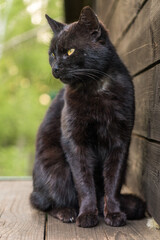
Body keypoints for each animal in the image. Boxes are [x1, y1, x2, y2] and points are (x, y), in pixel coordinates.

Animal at [30, 5, 146, 227]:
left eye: (69, 51)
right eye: (52, 54)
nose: (55, 68)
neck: (96, 88)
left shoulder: (120, 141)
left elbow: (113, 182)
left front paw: (113, 214)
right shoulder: (75, 141)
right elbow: (84, 182)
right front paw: (87, 215)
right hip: (55, 168)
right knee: (45, 203)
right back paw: (67, 212)